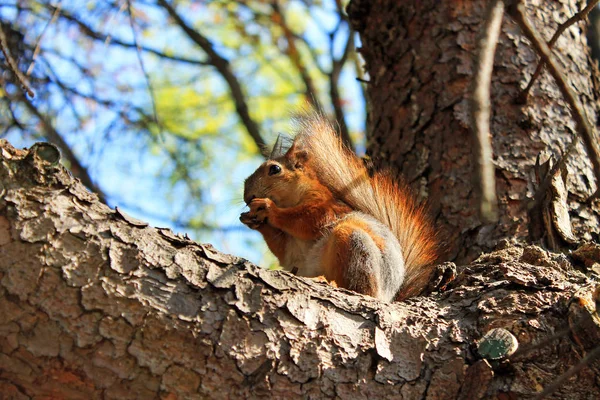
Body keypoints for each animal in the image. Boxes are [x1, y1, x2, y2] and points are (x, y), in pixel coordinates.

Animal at [238, 111, 436, 302]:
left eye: (275, 169)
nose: (248, 197)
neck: (289, 201)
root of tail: (387, 295)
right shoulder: (289, 247)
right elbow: (282, 249)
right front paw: (251, 220)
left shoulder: (325, 204)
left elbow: (310, 220)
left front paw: (268, 208)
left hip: (354, 243)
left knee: (362, 289)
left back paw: (331, 283)